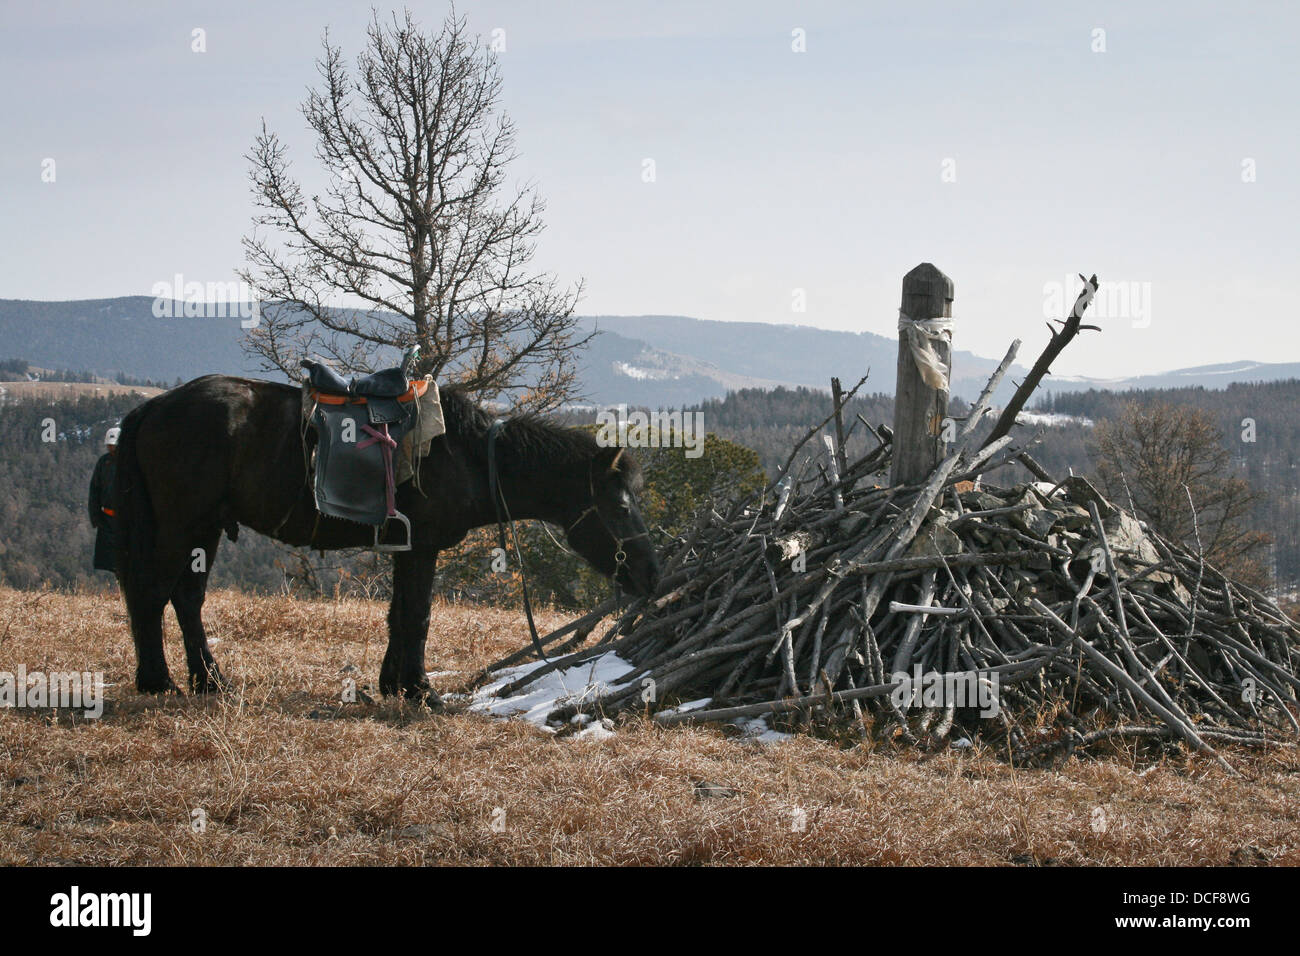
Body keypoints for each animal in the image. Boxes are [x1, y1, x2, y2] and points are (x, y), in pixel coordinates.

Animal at [111, 374, 660, 702]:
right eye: (621, 506)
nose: (651, 575)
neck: (464, 455)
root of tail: (152, 409)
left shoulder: (406, 548)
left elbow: (399, 615)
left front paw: (393, 684)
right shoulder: (423, 547)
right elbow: (417, 616)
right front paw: (419, 690)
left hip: (203, 528)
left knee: (186, 599)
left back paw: (210, 681)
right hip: (182, 525)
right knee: (151, 594)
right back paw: (159, 682)